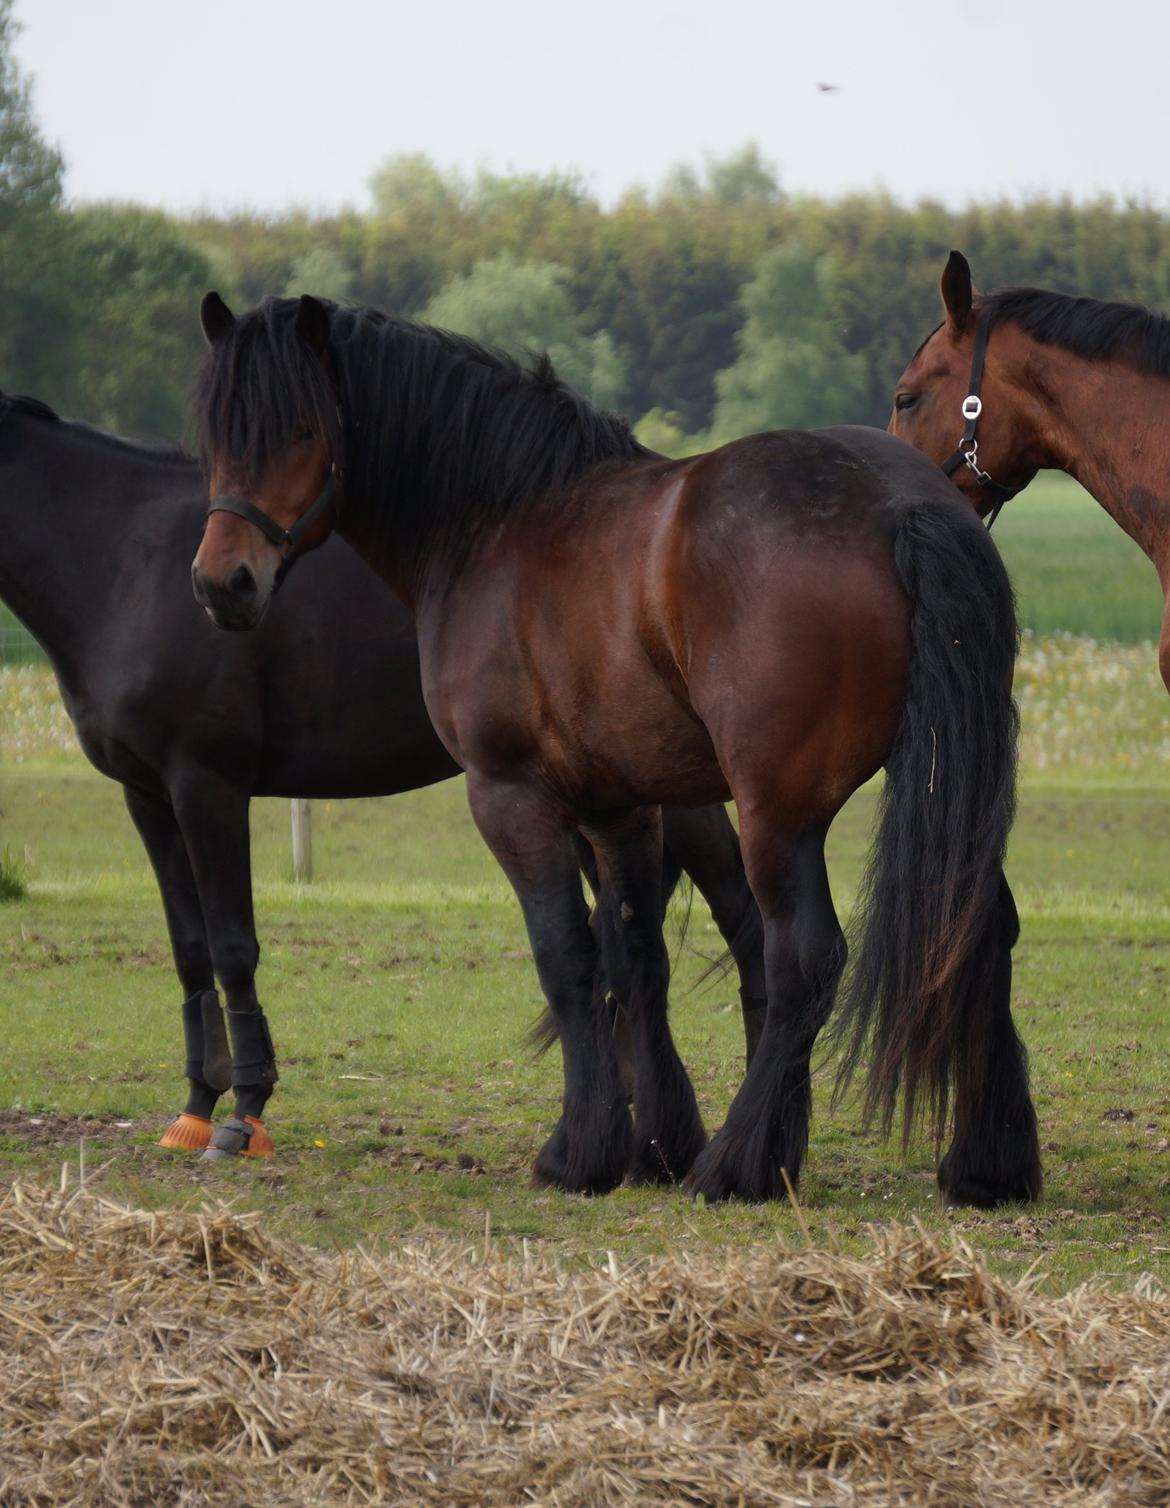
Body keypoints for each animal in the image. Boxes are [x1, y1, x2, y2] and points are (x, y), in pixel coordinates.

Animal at [0, 395, 762, 1158]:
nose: (222, 591)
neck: (124, 559)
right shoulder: (149, 797)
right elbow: (190, 951)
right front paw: (194, 1108)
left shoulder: (208, 786)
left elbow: (233, 946)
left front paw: (245, 1112)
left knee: (741, 919)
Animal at [185, 294, 1031, 1206]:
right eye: (215, 436)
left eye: (302, 429)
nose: (222, 583)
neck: (497, 522)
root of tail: (901, 504)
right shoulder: (619, 805)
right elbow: (635, 957)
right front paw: (652, 1142)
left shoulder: (512, 796)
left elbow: (566, 956)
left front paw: (580, 1150)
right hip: (946, 783)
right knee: (973, 930)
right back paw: (984, 1163)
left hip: (779, 813)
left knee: (805, 958)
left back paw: (739, 1163)